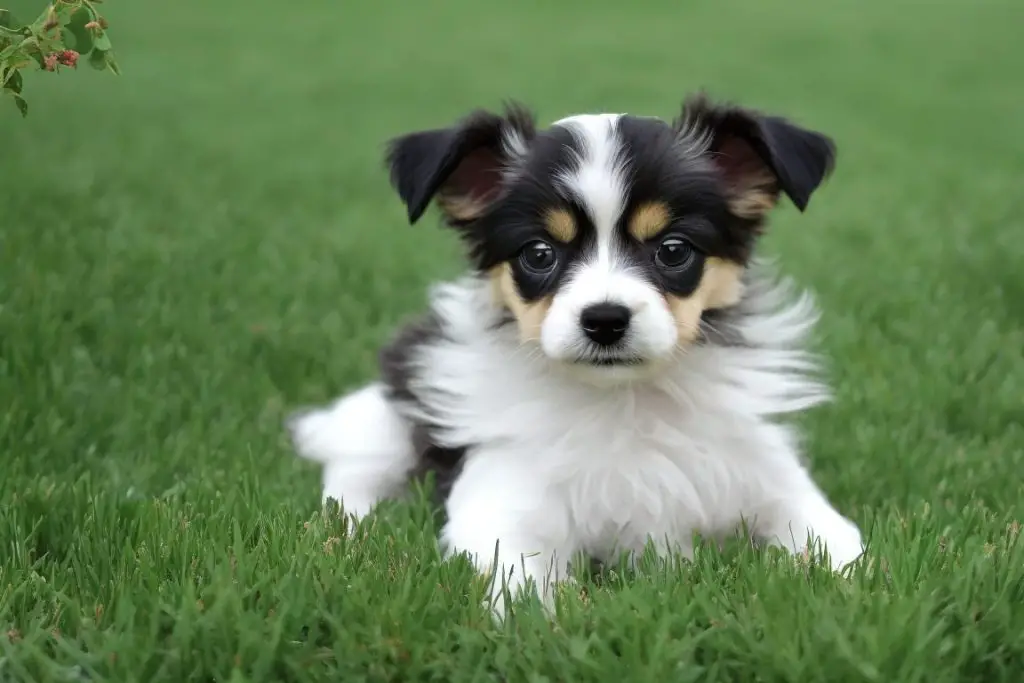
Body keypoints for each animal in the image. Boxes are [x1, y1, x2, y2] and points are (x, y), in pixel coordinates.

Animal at [286, 93, 864, 618]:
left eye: (674, 250)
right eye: (539, 254)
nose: (605, 320)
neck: (621, 401)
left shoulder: (769, 477)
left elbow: (839, 546)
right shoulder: (502, 504)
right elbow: (520, 588)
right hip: (386, 421)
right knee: (353, 475)